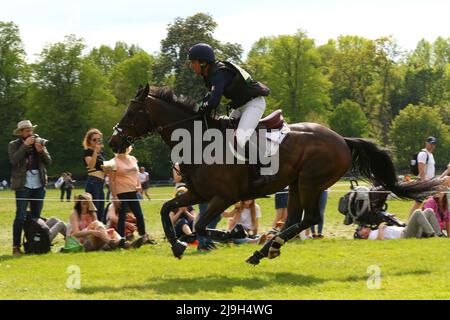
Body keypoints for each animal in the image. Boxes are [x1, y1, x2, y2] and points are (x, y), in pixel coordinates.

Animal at [108, 84, 442, 264]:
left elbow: (202, 225)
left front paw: (236, 233)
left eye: (132, 112)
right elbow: (168, 209)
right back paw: (267, 250)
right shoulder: (198, 193)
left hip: (309, 182)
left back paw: (264, 248)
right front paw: (177, 244)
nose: (113, 142)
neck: (198, 139)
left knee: (307, 218)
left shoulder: (223, 196)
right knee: (296, 218)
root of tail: (341, 139)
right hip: (296, 184)